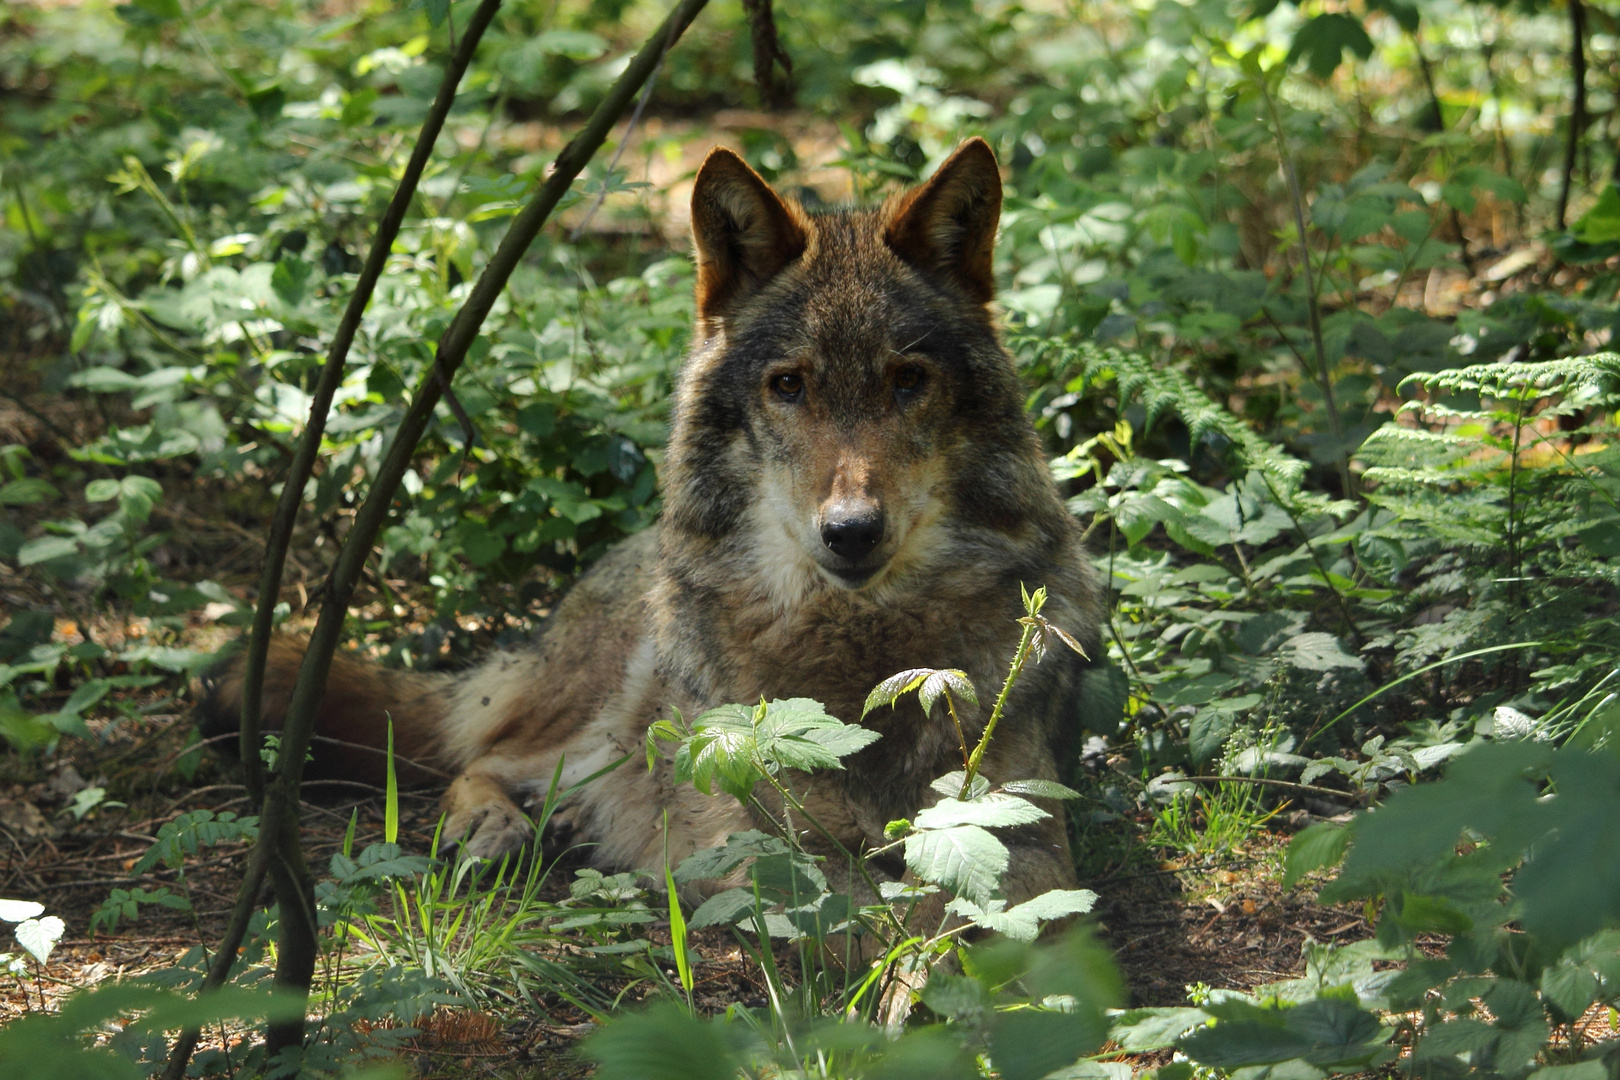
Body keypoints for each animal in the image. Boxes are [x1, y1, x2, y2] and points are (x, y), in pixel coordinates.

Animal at [189, 132, 1101, 913]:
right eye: (789, 385)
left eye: (907, 381)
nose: (851, 531)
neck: (860, 653)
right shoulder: (768, 848)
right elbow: (865, 921)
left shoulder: (1019, 835)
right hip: (605, 696)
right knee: (484, 756)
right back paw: (496, 826)